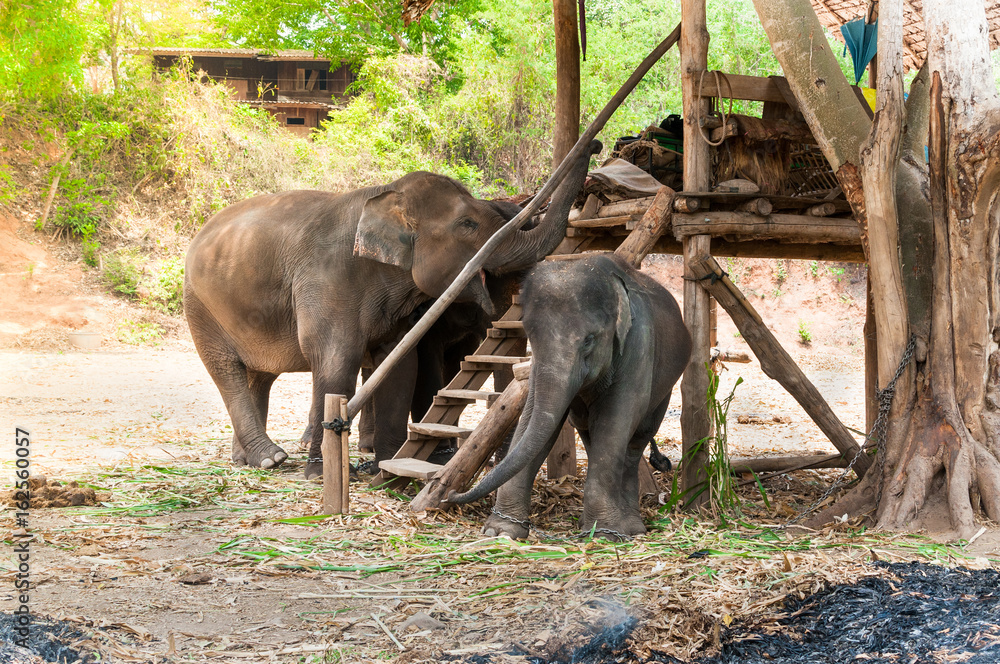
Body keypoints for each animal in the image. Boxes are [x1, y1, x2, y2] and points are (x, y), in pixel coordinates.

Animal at [183, 141, 601, 478]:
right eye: (467, 224)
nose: (595, 145)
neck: (383, 195)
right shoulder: (328, 279)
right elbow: (337, 362)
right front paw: (323, 474)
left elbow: (400, 364)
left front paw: (384, 466)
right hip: (200, 307)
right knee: (228, 372)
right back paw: (271, 458)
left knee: (259, 375)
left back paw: (250, 460)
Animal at [448, 253, 691, 540]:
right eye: (531, 336)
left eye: (588, 340)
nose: (452, 493)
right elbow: (533, 420)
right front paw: (500, 531)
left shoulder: (639, 344)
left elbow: (616, 419)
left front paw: (604, 534)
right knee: (588, 430)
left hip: (665, 387)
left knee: (634, 441)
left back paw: (631, 527)